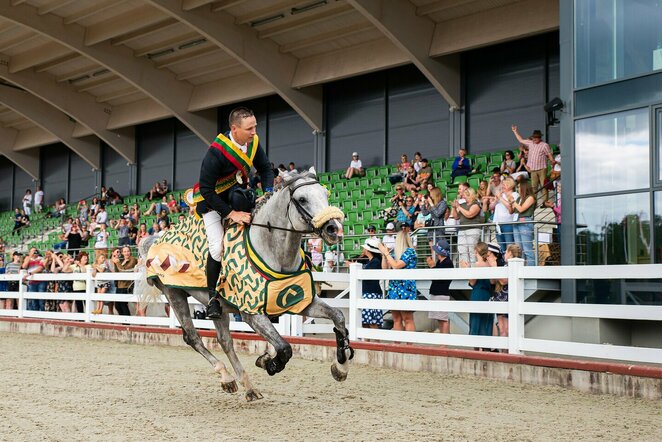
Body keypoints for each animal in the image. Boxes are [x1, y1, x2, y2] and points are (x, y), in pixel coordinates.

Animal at [140, 171, 352, 402]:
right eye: (302, 199)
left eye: (325, 193)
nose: (334, 229)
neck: (273, 251)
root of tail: (156, 239)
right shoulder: (252, 314)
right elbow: (284, 348)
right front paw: (269, 362)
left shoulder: (301, 302)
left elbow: (339, 317)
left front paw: (341, 366)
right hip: (174, 294)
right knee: (193, 338)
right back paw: (226, 377)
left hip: (219, 307)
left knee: (225, 341)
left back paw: (246, 386)